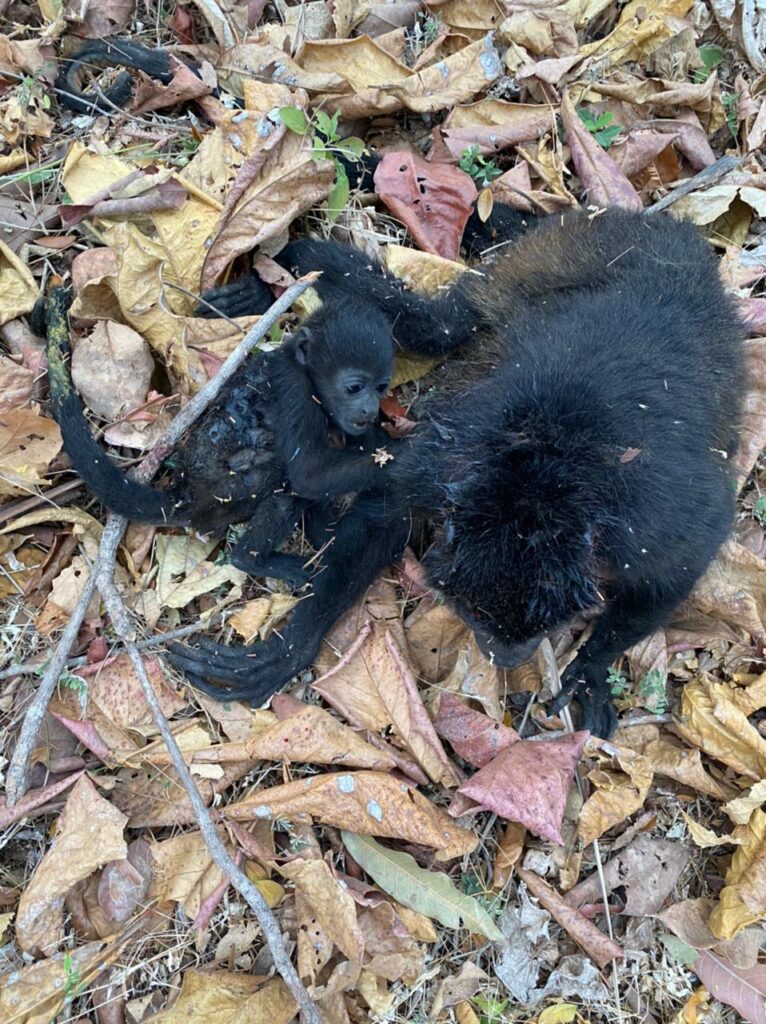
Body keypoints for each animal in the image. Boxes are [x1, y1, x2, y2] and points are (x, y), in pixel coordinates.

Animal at [47, 288, 398, 587]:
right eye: (354, 387)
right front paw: (406, 457)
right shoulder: (296, 391)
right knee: (282, 490)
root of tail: (186, 494)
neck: (300, 366)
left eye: (381, 387)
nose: (370, 408)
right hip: (226, 497)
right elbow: (307, 473)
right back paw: (254, 559)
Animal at [168, 206, 746, 737]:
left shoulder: (645, 513)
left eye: (538, 628)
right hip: (556, 252)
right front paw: (292, 646)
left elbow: (690, 551)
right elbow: (386, 514)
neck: (539, 477)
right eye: (477, 621)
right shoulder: (447, 461)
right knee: (441, 328)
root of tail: (648, 221)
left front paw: (590, 669)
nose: (506, 659)